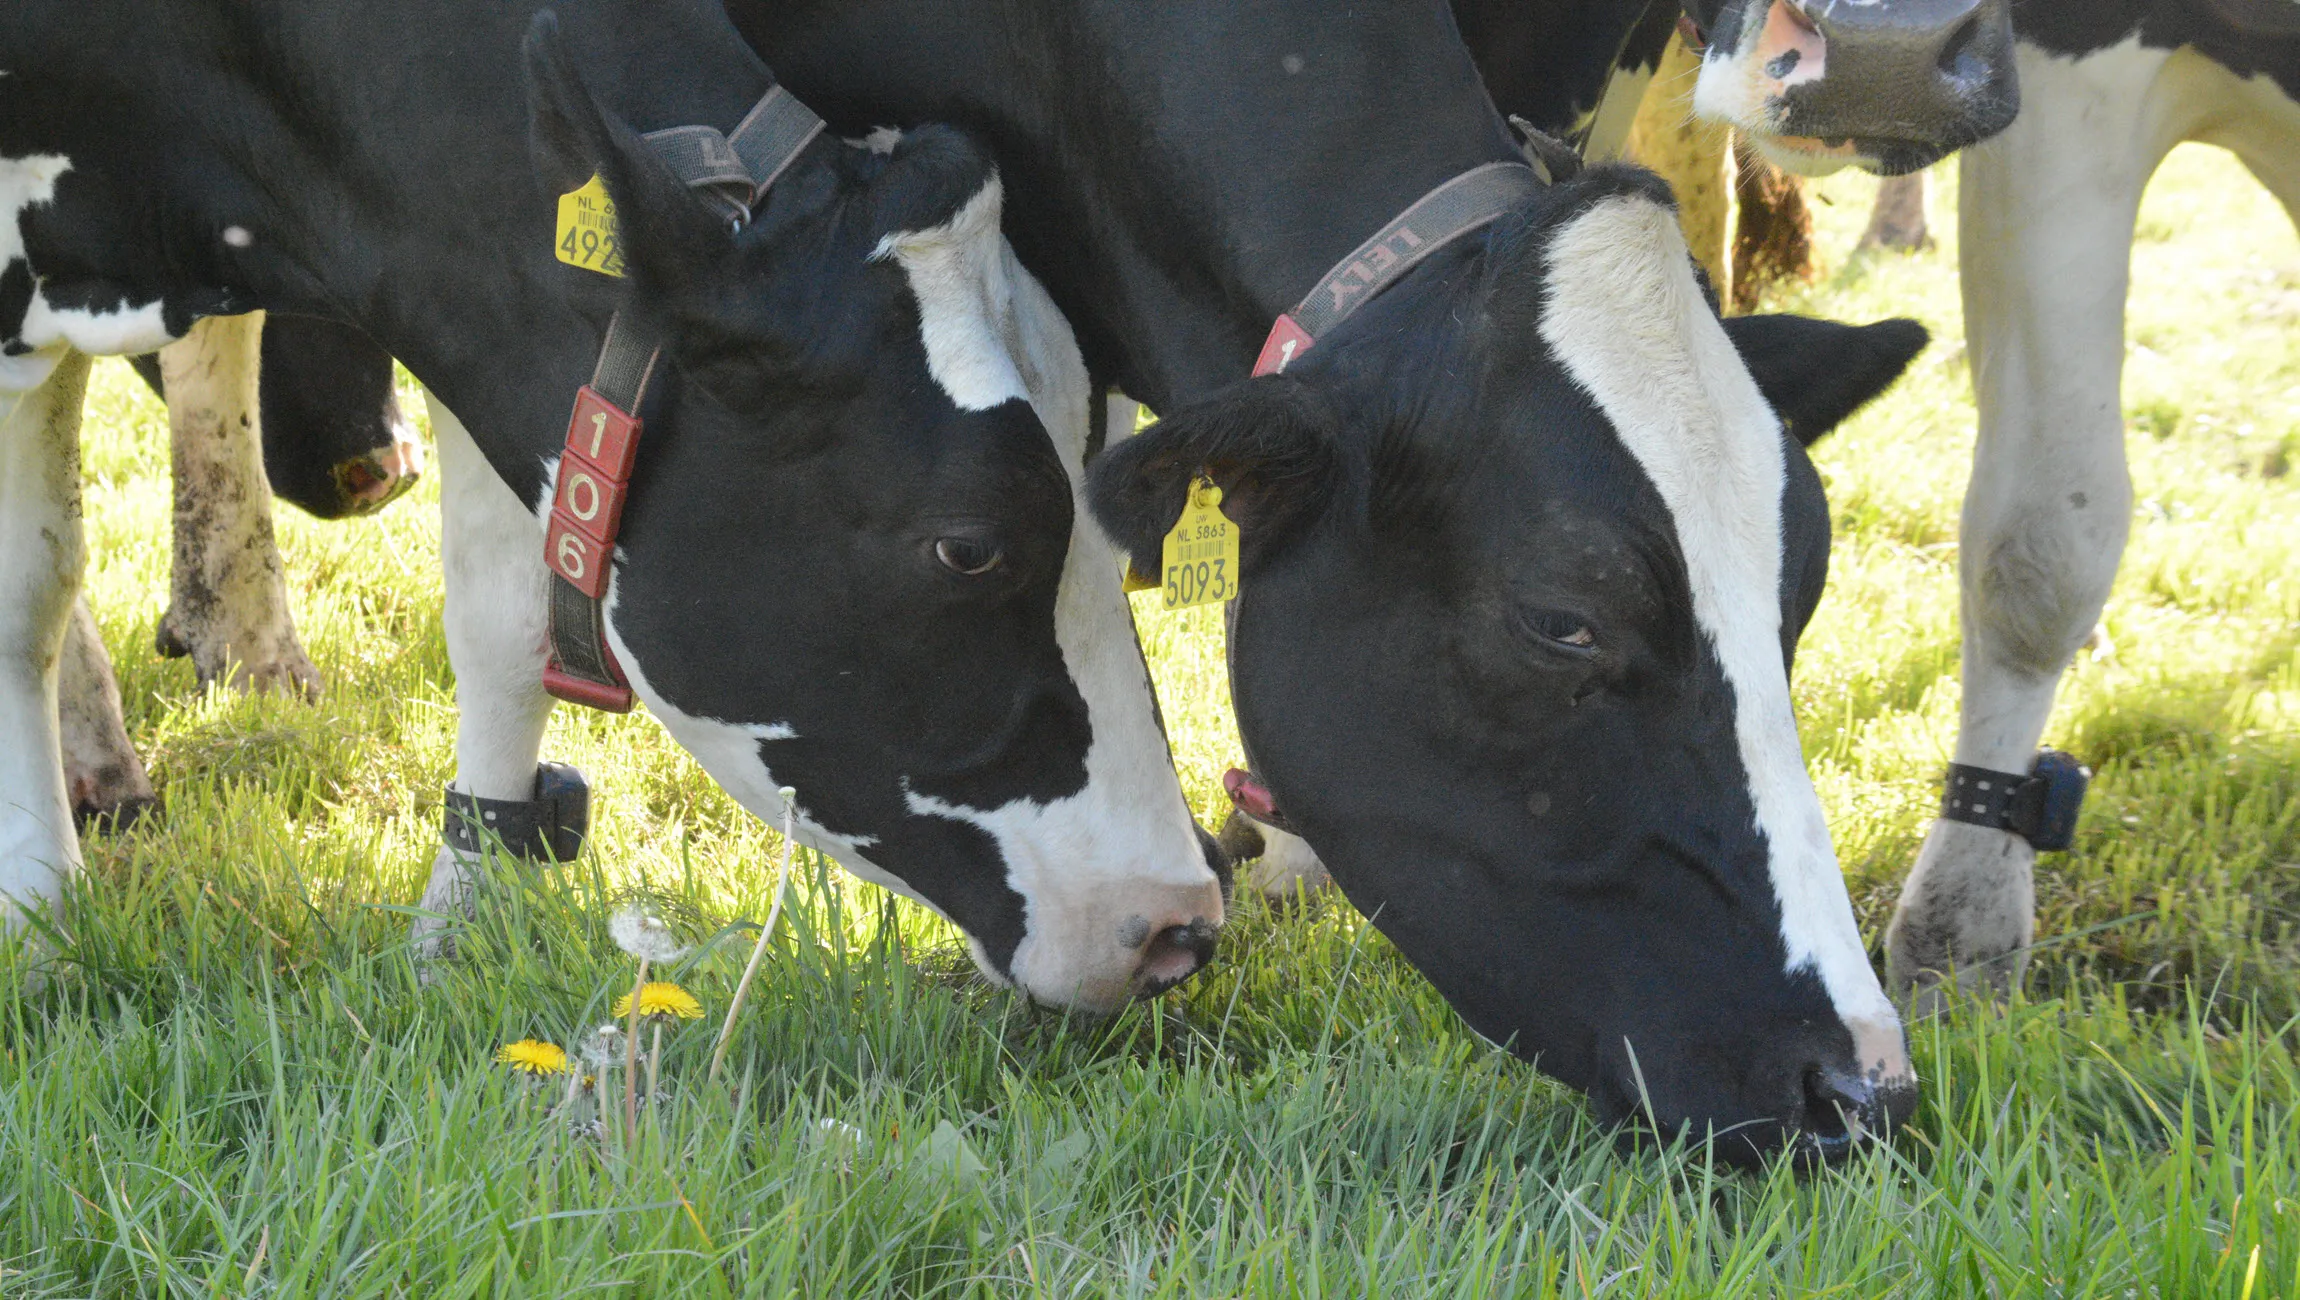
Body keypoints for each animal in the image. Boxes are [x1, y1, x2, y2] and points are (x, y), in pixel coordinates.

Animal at [0, 0, 1232, 1012]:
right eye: (967, 547)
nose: (1181, 920)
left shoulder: (486, 319)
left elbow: (505, 621)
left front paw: (459, 926)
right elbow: (32, 589)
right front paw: (38, 920)